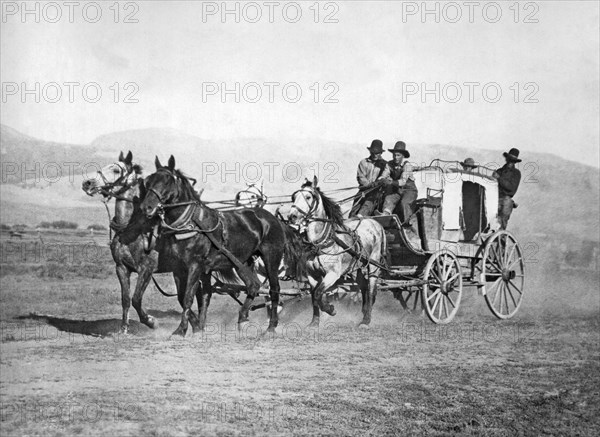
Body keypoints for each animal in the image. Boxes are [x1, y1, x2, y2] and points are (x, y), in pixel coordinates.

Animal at [141, 155, 304, 336]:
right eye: (148, 181)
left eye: (167, 181)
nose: (146, 207)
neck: (190, 223)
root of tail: (274, 219)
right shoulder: (180, 269)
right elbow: (191, 297)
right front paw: (198, 327)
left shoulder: (195, 266)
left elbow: (189, 297)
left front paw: (181, 330)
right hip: (243, 262)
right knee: (253, 286)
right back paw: (243, 318)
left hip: (271, 258)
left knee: (274, 289)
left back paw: (271, 327)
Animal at [288, 175, 386, 326]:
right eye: (294, 197)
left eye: (308, 197)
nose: (292, 216)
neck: (320, 243)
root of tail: (376, 223)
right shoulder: (312, 275)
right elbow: (314, 297)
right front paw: (314, 322)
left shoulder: (333, 274)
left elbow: (318, 293)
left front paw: (330, 309)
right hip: (357, 267)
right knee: (363, 287)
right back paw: (364, 312)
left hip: (374, 265)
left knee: (370, 290)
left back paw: (366, 320)